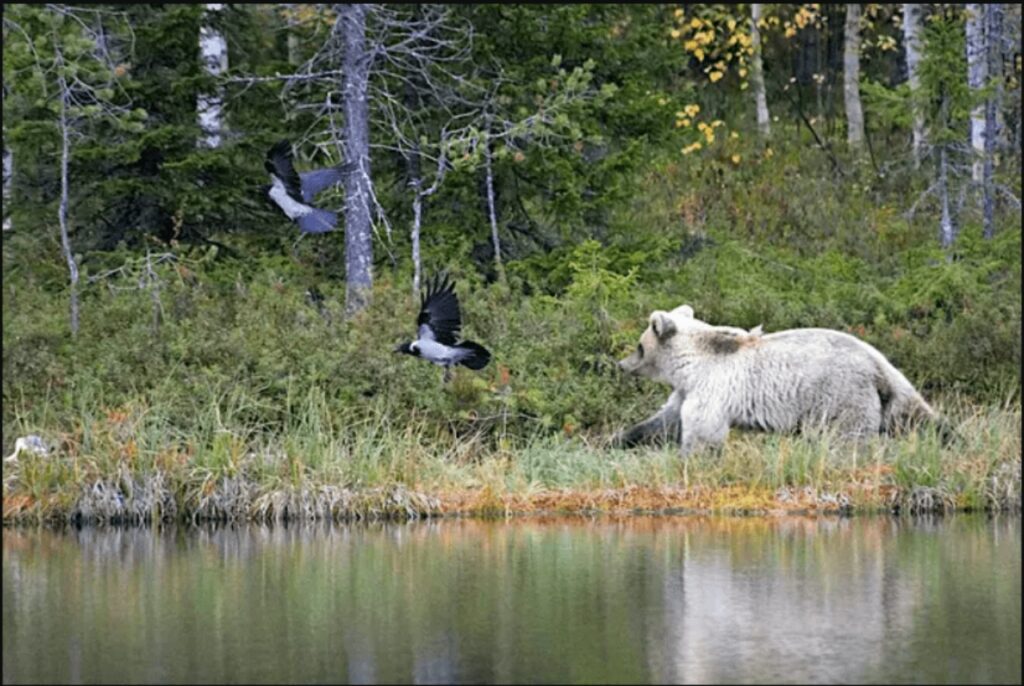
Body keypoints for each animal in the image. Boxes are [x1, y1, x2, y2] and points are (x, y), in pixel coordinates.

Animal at [610, 307, 937, 456]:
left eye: (639, 346)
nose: (622, 364)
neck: (690, 364)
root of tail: (878, 363)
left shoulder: (712, 385)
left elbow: (702, 429)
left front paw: (692, 457)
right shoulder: (686, 390)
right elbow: (665, 420)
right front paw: (618, 438)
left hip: (841, 396)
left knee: (846, 438)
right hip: (887, 396)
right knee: (914, 416)